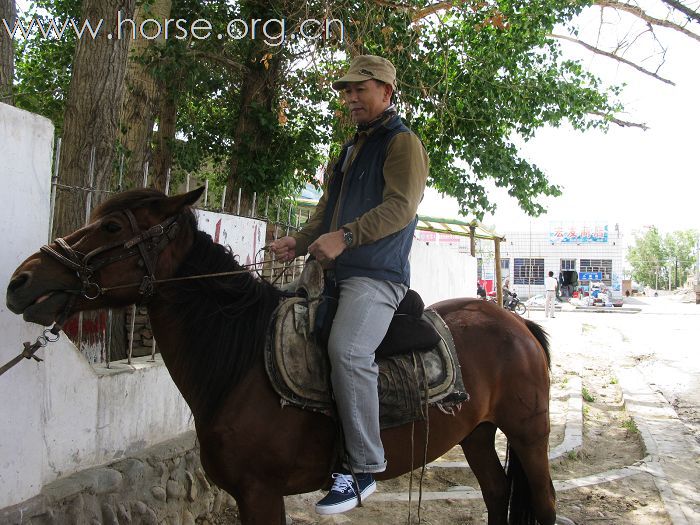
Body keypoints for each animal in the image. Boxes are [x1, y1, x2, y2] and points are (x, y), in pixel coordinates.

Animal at [5, 186, 556, 520]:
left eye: (113, 228)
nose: (21, 281)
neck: (241, 364)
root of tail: (515, 322)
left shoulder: (261, 494)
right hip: (477, 434)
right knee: (497, 494)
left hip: (528, 435)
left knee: (543, 500)